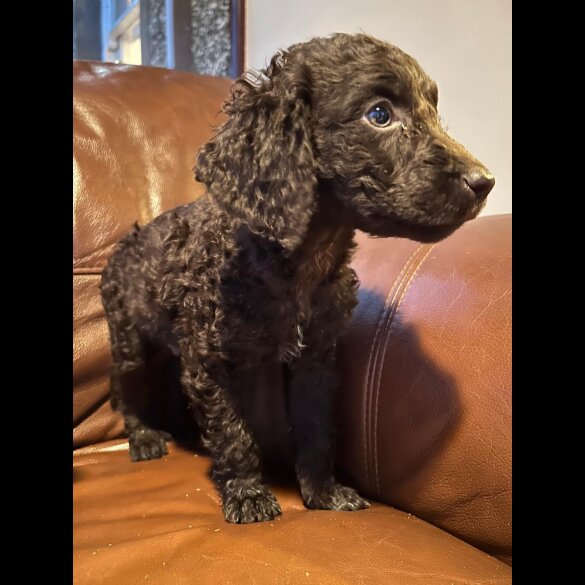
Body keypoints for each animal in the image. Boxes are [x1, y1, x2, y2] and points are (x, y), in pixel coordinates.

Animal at [99, 33, 492, 524]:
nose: (486, 182)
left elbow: (315, 427)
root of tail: (126, 242)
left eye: (434, 111)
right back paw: (144, 437)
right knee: (125, 390)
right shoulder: (209, 360)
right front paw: (248, 494)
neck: (300, 262)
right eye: (379, 115)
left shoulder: (315, 359)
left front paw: (323, 492)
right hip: (129, 341)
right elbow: (233, 431)